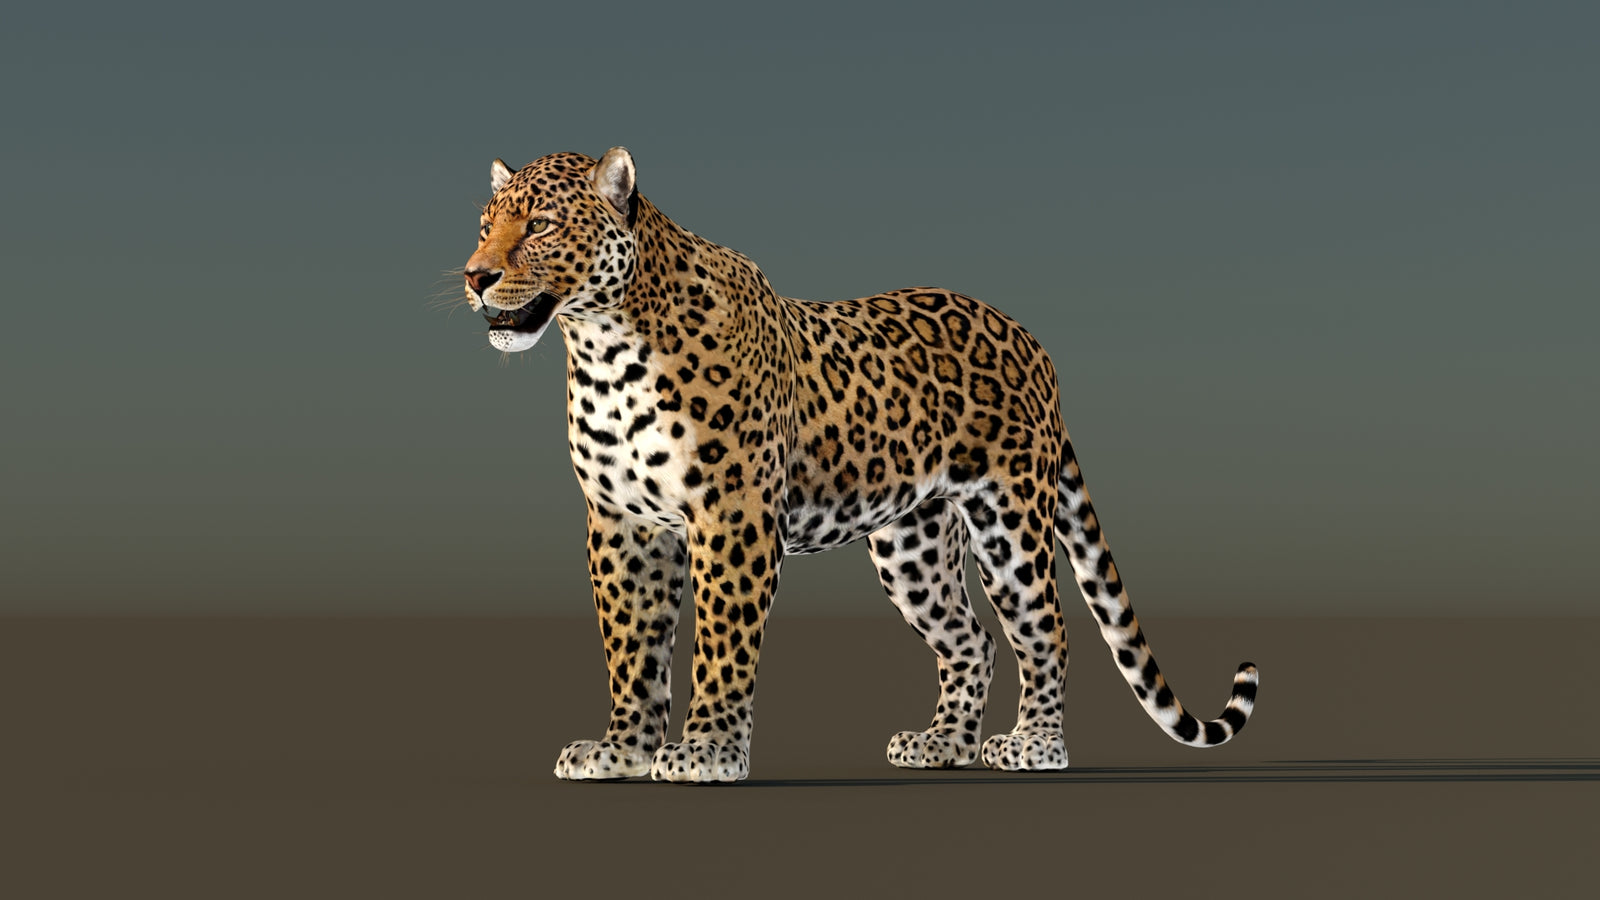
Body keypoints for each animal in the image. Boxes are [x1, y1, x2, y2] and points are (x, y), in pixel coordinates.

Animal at [460, 147, 1258, 783]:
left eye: (540, 226)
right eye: (485, 225)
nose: (474, 277)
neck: (604, 349)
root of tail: (1031, 340)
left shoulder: (733, 516)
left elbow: (720, 640)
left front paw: (707, 753)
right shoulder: (622, 523)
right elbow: (632, 644)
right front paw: (620, 752)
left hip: (1009, 521)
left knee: (1045, 630)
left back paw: (1033, 745)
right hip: (913, 544)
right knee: (971, 640)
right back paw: (943, 745)